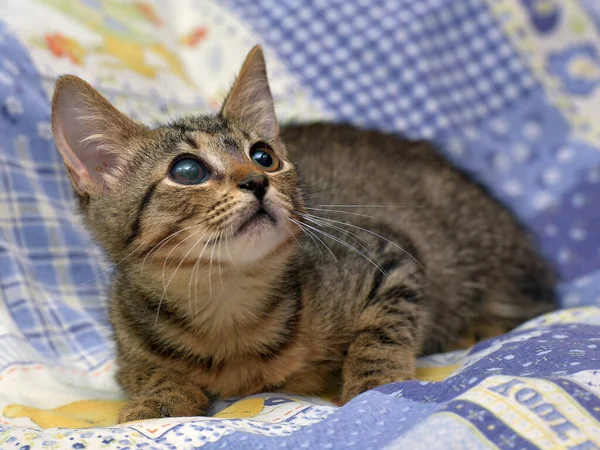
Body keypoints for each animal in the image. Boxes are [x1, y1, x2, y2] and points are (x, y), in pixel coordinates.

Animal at [49, 45, 556, 422]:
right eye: (188, 171)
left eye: (264, 156)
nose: (256, 181)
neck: (228, 309)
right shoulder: (127, 342)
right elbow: (151, 371)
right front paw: (161, 399)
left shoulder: (392, 254)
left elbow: (382, 330)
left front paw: (376, 383)